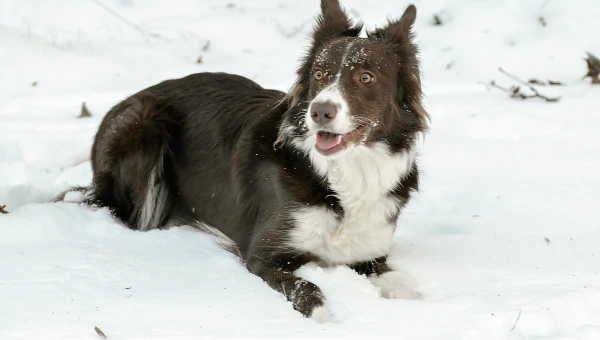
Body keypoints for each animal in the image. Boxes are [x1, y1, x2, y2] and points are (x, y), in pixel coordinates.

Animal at [68, 0, 428, 322]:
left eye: (366, 77)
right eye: (319, 74)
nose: (320, 111)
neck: (343, 173)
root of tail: (124, 101)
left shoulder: (371, 254)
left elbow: (405, 285)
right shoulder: (264, 256)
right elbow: (308, 290)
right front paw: (325, 316)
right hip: (144, 126)